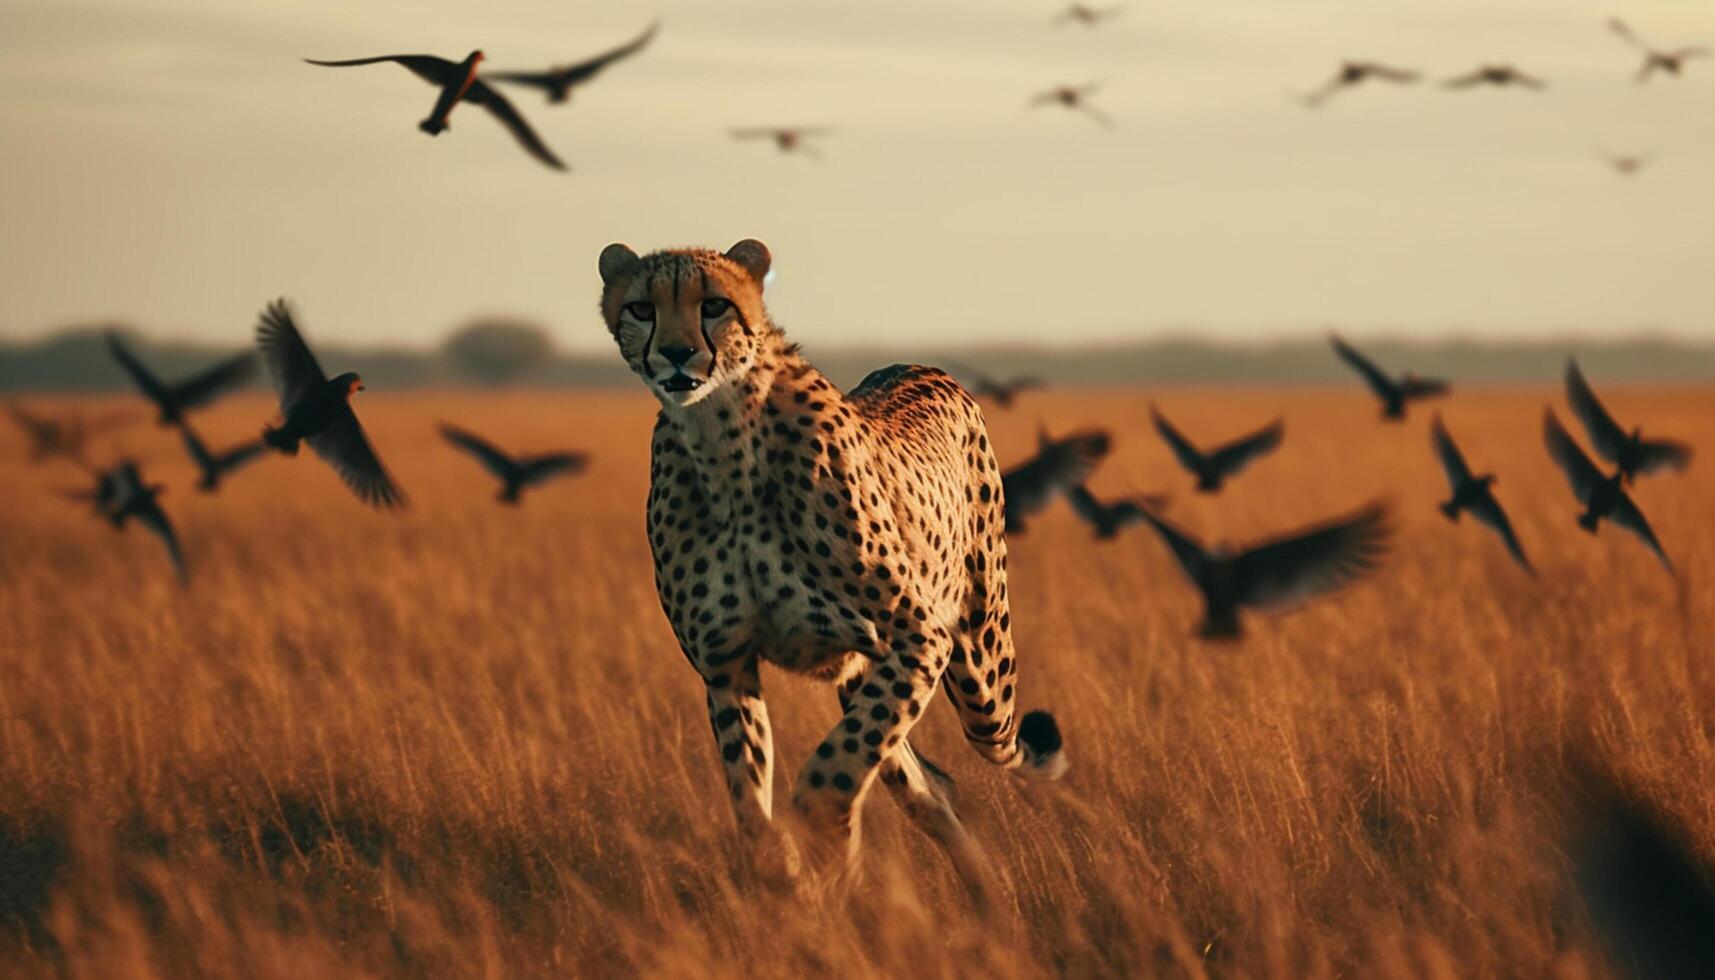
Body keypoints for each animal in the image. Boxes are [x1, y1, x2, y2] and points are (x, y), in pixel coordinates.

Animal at [596, 240, 1063, 899]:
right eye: (641, 306)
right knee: (921, 784)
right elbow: (750, 788)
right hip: (864, 674)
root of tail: (915, 365)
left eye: (714, 304)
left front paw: (817, 836)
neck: (721, 438)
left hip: (981, 674)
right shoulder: (726, 665)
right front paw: (786, 867)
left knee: (983, 744)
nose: (678, 352)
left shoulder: (918, 637)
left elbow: (835, 768)